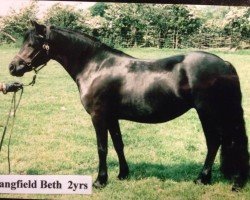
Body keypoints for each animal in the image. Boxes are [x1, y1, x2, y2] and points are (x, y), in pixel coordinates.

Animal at [8, 21, 249, 191]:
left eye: (32, 44)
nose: (13, 67)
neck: (96, 66)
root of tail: (225, 63)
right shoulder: (112, 117)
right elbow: (118, 144)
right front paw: (123, 174)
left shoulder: (98, 116)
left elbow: (102, 148)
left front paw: (100, 181)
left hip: (209, 112)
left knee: (220, 141)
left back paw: (216, 180)